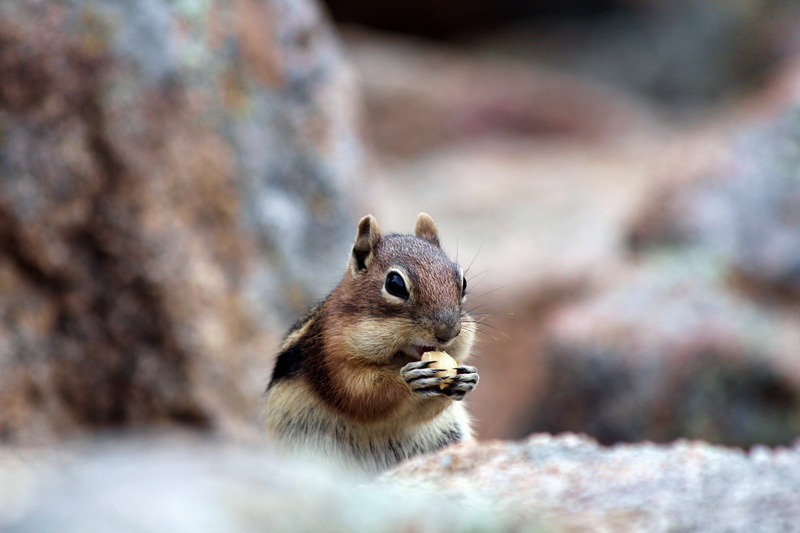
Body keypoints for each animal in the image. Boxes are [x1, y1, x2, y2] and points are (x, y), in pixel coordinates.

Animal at [263, 213, 479, 476]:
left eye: (463, 281)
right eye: (395, 284)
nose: (448, 332)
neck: (399, 356)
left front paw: (467, 378)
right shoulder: (330, 354)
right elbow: (361, 395)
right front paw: (409, 380)